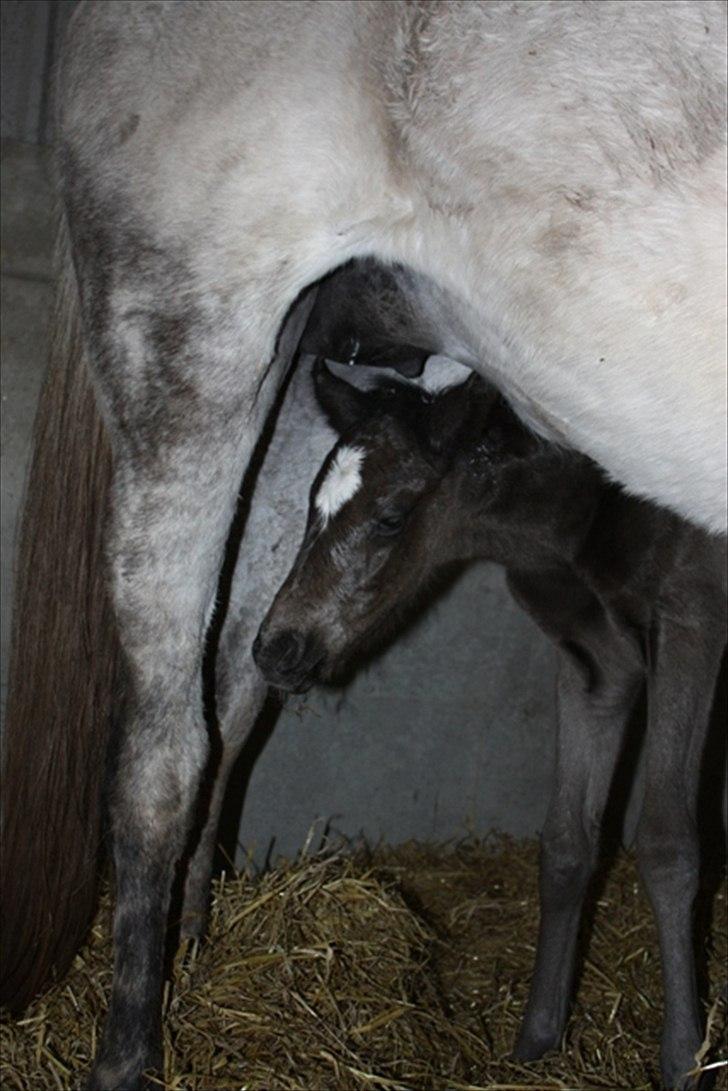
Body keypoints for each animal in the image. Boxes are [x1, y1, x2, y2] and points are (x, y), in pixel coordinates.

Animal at [255, 360, 724, 1091]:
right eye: (312, 505)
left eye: (391, 517)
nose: (277, 648)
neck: (589, 513)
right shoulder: (595, 659)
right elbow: (566, 843)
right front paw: (537, 1040)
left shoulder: (692, 621)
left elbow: (668, 844)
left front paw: (683, 1061)